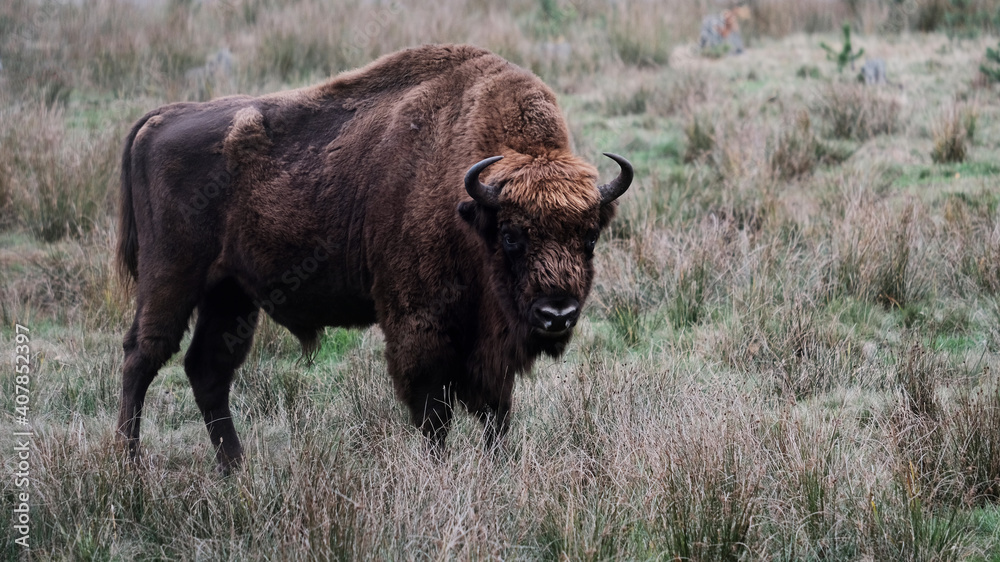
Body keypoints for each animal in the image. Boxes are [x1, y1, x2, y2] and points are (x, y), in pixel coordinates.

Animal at [117, 43, 632, 466]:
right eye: (510, 235)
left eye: (589, 237)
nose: (556, 314)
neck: (468, 204)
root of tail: (159, 119)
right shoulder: (418, 326)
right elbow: (433, 411)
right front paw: (439, 470)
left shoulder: (490, 346)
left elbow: (495, 411)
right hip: (171, 279)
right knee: (142, 356)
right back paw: (129, 463)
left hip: (230, 294)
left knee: (208, 370)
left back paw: (234, 468)